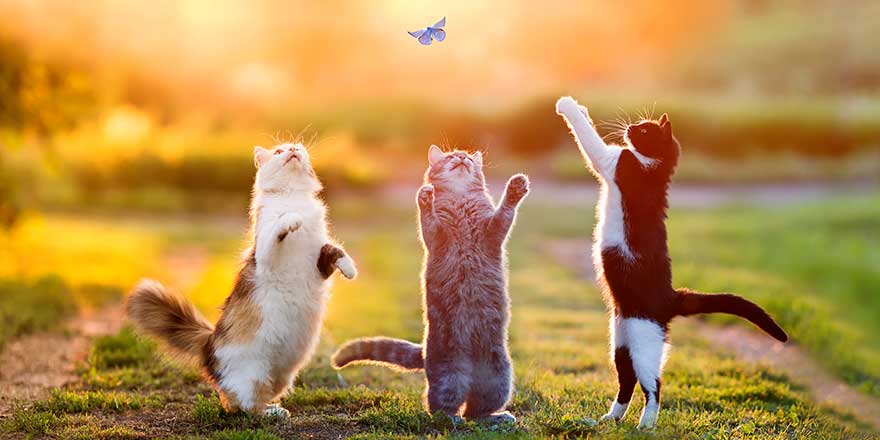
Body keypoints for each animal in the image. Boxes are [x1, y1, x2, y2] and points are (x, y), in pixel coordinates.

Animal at [127, 143, 354, 418]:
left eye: (297, 148)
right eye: (279, 151)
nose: (292, 148)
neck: (292, 197)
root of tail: (209, 340)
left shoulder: (319, 263)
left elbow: (335, 250)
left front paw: (350, 270)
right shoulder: (266, 256)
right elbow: (278, 229)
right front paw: (291, 220)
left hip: (282, 375)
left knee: (254, 398)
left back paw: (276, 409)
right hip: (253, 374)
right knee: (243, 406)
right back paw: (271, 414)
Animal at [332, 144, 528, 422]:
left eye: (469, 158)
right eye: (451, 156)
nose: (461, 157)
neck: (459, 198)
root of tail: (425, 351)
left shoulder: (492, 229)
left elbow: (505, 213)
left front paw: (516, 187)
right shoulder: (436, 235)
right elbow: (429, 219)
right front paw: (425, 197)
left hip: (498, 378)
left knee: (476, 411)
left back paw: (496, 418)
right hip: (449, 377)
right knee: (439, 407)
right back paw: (453, 418)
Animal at [552, 97, 788, 430]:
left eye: (644, 130)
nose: (630, 127)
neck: (655, 169)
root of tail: (670, 298)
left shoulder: (616, 162)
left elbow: (590, 139)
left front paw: (569, 106)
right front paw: (582, 107)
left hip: (643, 341)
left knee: (654, 385)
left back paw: (646, 424)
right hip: (621, 337)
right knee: (627, 379)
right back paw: (610, 418)